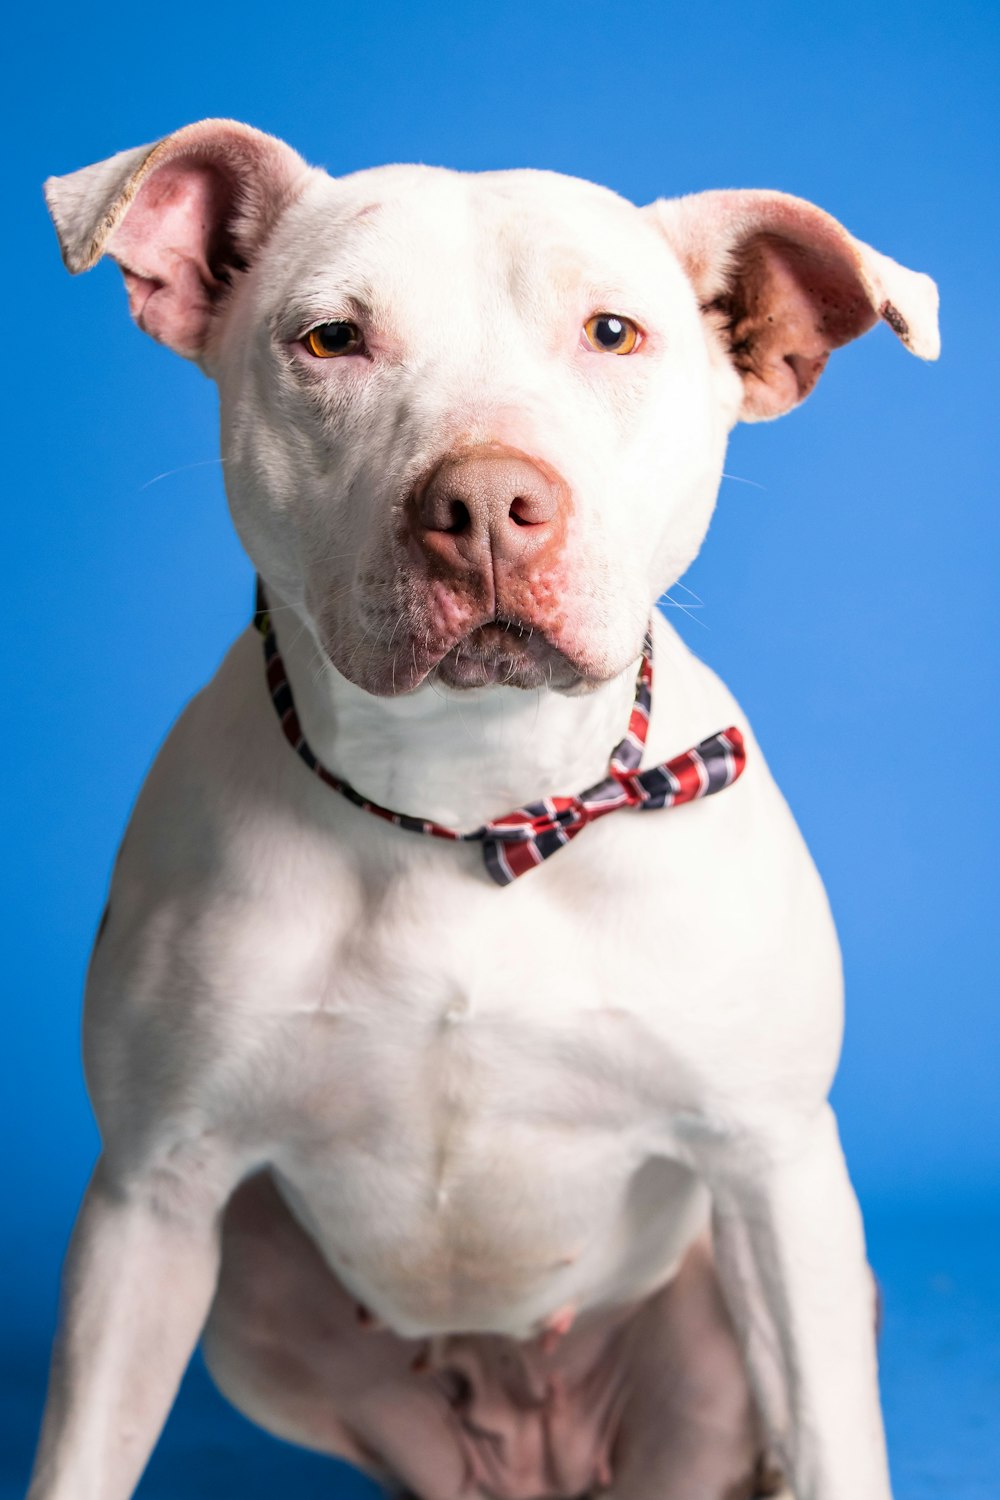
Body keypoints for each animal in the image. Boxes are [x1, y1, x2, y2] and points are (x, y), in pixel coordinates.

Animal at [31, 120, 941, 1500]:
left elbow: (837, 1441)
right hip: (246, 1292)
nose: (486, 505)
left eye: (613, 333)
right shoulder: (149, 1197)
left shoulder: (776, 1169)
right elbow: (81, 1453)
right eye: (330, 339)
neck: (474, 807)